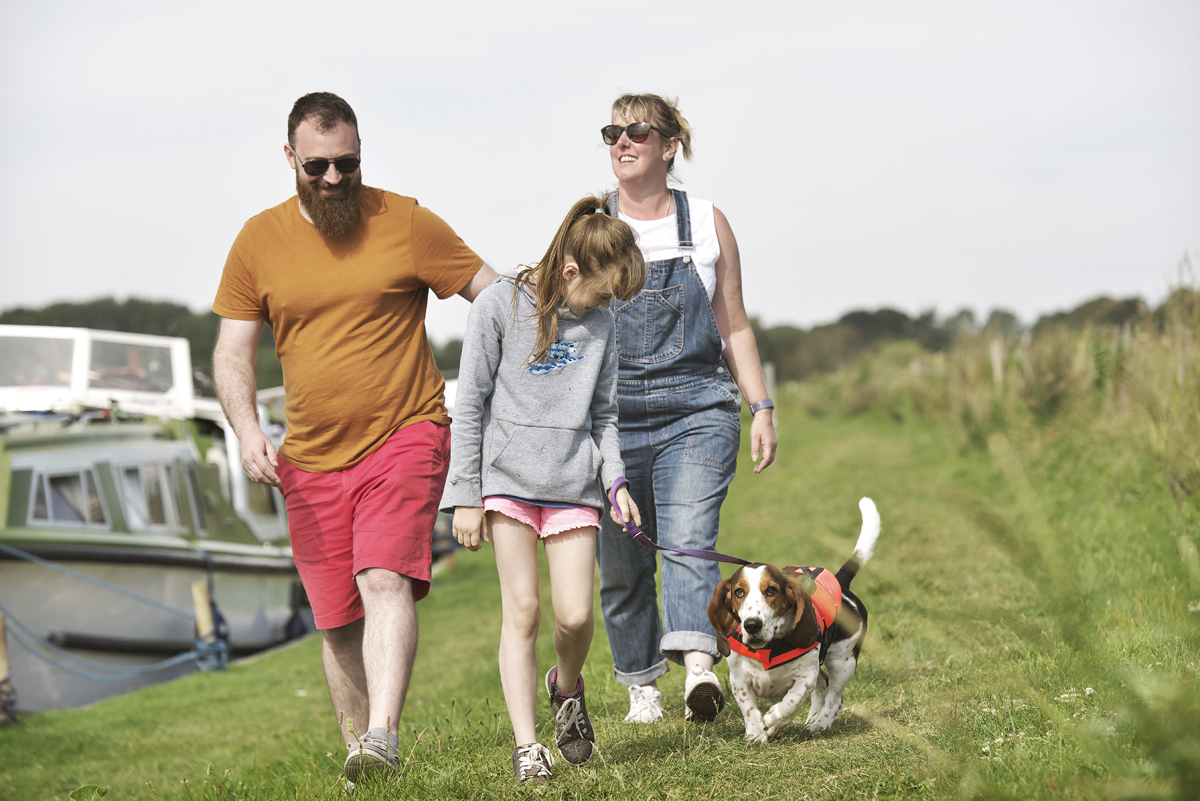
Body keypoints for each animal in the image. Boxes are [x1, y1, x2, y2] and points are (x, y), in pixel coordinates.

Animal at [700, 496, 883, 743]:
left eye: (771, 591)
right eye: (739, 592)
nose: (752, 625)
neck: (769, 647)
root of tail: (841, 585)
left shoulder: (805, 677)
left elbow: (790, 703)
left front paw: (772, 721)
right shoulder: (739, 680)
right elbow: (749, 708)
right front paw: (756, 733)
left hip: (843, 662)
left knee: (835, 697)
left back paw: (820, 723)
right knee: (823, 687)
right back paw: (811, 719)